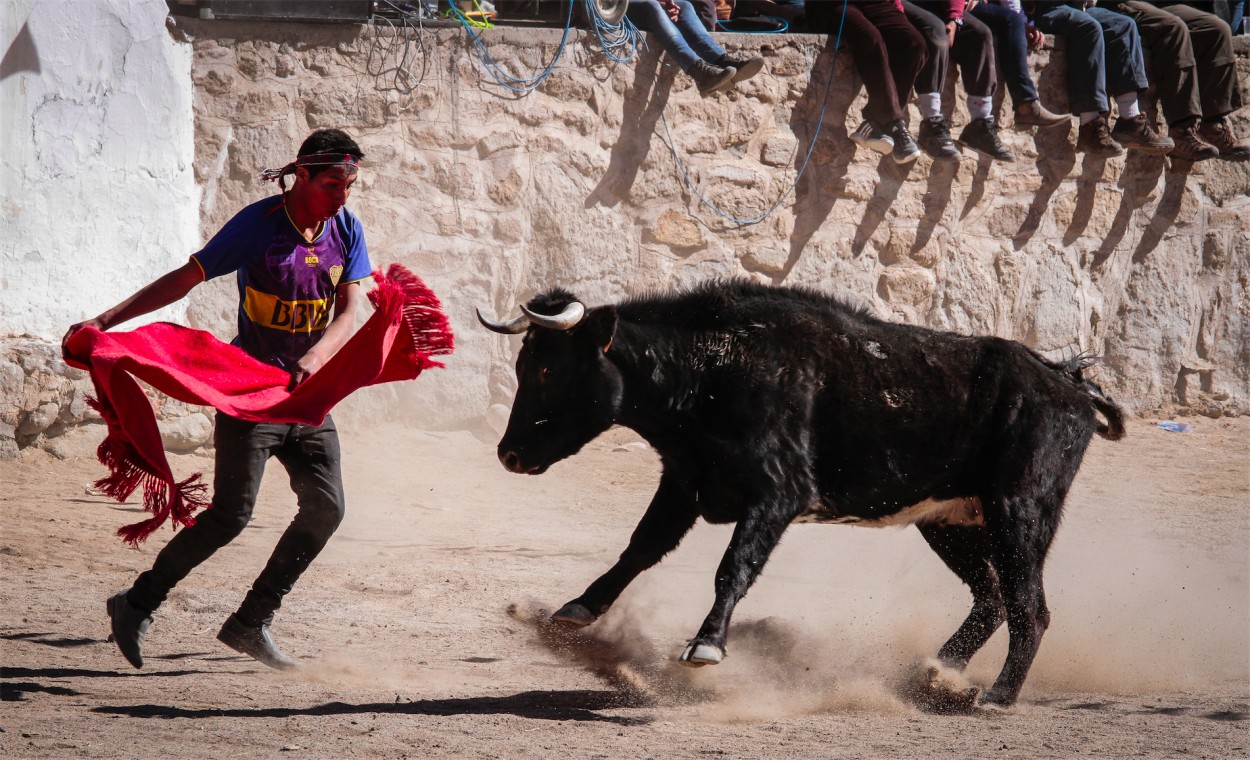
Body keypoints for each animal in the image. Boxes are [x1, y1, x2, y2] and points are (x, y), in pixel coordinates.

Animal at [477, 278, 1125, 705]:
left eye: (548, 369)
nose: (509, 455)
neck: (713, 370)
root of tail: (1067, 382)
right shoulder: (683, 483)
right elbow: (638, 549)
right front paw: (576, 610)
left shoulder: (778, 495)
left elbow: (733, 566)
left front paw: (707, 648)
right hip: (948, 521)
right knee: (991, 597)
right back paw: (931, 674)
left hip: (1021, 510)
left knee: (1029, 607)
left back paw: (996, 697)